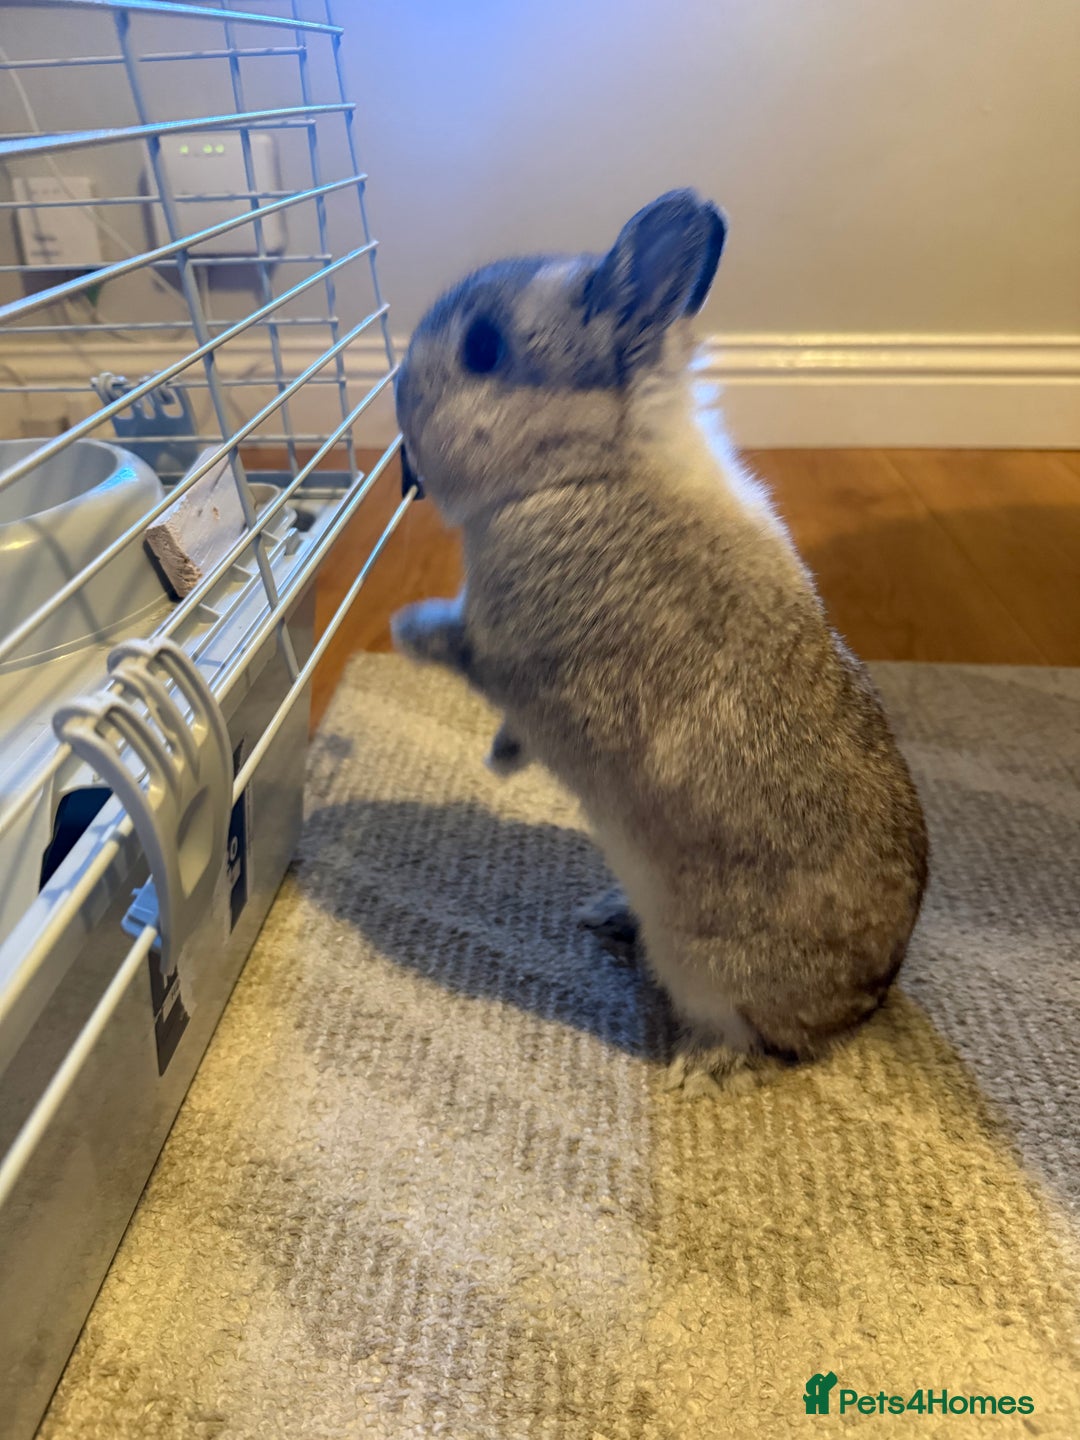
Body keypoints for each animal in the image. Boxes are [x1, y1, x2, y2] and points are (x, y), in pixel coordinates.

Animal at [390, 189, 928, 1090]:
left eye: (483, 349)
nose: (397, 403)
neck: (586, 466)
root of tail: (862, 1004)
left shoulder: (509, 649)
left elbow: (461, 646)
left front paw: (404, 629)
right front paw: (501, 759)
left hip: (713, 971)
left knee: (755, 1039)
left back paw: (695, 1067)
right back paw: (609, 917)